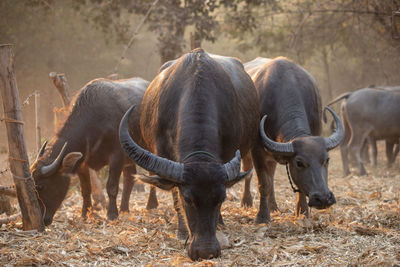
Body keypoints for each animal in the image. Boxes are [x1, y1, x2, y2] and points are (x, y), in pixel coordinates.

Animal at [29, 77, 148, 226]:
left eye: (41, 186)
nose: (43, 220)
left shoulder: (117, 155)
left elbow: (112, 186)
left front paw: (112, 214)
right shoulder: (82, 162)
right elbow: (85, 189)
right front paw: (85, 213)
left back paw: (150, 205)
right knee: (129, 178)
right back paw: (124, 209)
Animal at [242, 57, 346, 223]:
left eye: (327, 160)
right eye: (299, 163)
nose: (323, 198)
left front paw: (302, 211)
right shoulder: (257, 149)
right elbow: (263, 183)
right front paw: (262, 216)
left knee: (271, 176)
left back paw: (273, 206)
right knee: (248, 172)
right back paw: (246, 202)